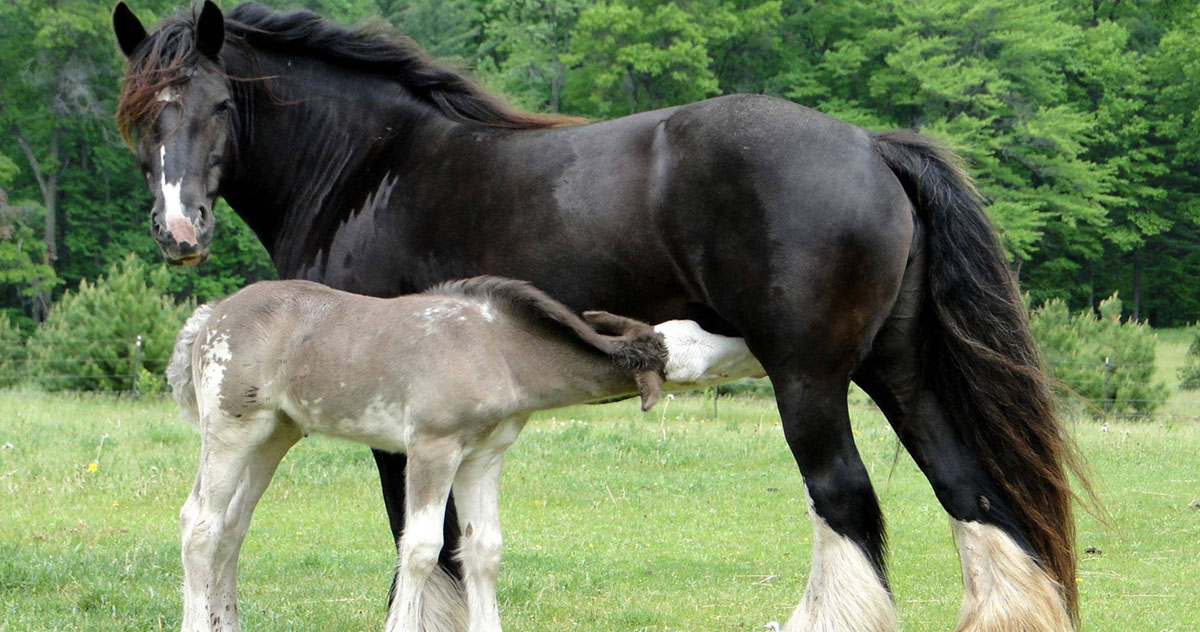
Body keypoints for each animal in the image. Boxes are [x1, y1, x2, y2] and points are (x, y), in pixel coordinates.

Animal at [168, 279, 672, 632]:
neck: (496, 345)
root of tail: (213, 313)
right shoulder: (433, 447)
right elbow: (422, 548)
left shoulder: (482, 458)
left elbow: (484, 549)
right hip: (231, 431)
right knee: (201, 524)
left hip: (274, 436)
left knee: (232, 528)